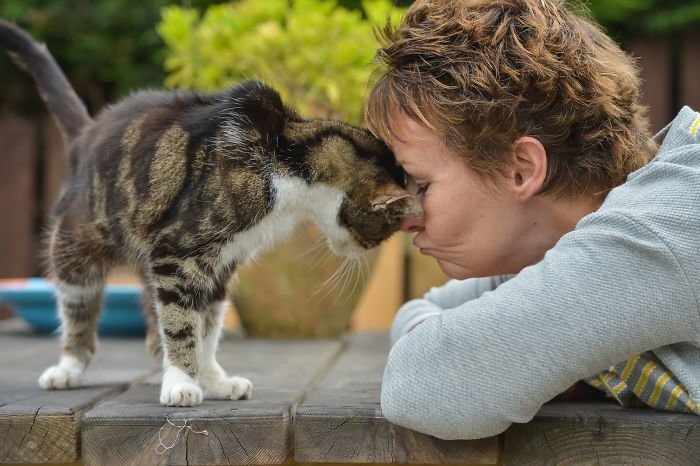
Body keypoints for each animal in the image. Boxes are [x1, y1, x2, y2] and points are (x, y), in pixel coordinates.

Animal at [1, 18, 422, 404]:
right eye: (382, 231)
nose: (362, 251)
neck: (289, 157)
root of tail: (86, 134)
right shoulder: (179, 253)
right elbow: (183, 323)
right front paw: (183, 383)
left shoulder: (221, 264)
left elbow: (206, 328)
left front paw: (212, 379)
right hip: (76, 247)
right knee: (79, 310)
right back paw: (67, 369)